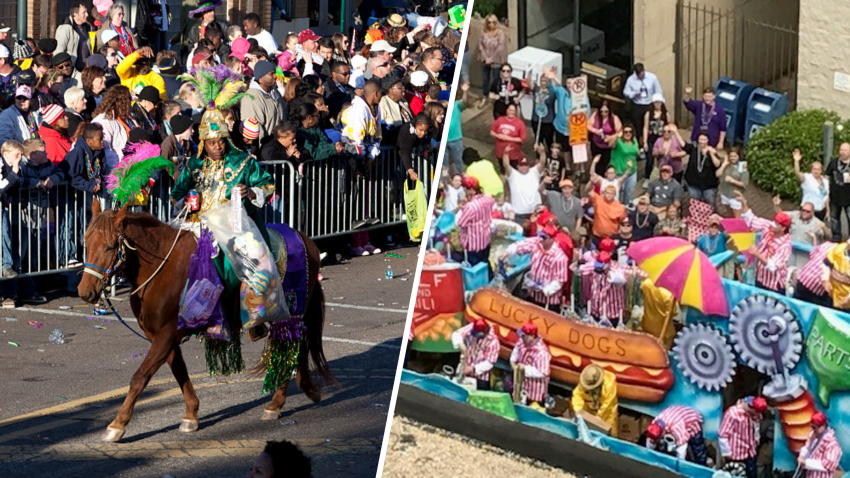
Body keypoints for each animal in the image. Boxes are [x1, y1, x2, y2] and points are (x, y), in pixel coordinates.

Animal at [78, 201, 332, 440]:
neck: (160, 268)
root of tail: (304, 238)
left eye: (110, 246)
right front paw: (191, 415)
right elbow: (180, 372)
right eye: (86, 243)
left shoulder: (166, 335)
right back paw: (305, 389)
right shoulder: (164, 336)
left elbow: (140, 378)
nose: (85, 291)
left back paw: (276, 404)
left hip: (290, 314)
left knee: (292, 349)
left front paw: (117, 424)